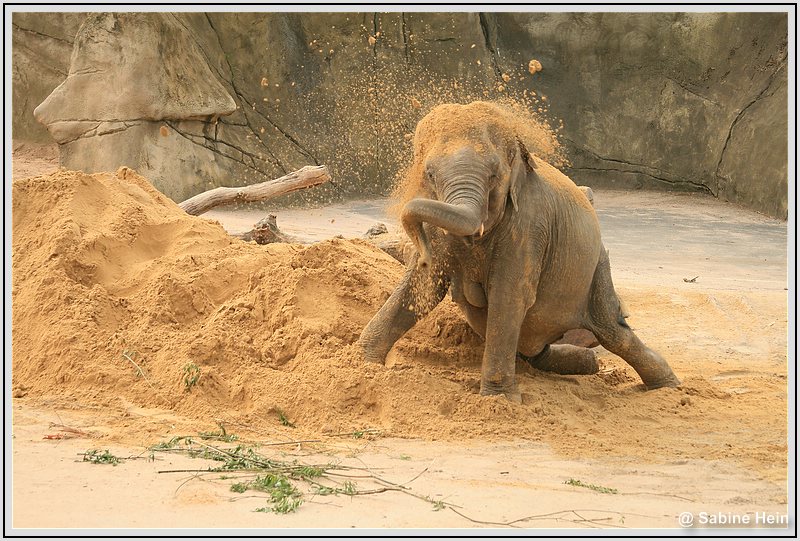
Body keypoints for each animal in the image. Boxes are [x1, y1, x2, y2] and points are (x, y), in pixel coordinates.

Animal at [360, 101, 680, 398]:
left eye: (493, 175)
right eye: (429, 174)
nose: (422, 252)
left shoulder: (529, 224)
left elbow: (509, 295)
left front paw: (498, 400)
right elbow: (422, 287)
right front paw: (362, 363)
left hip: (597, 266)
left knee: (613, 330)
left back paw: (668, 385)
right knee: (538, 351)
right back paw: (587, 363)